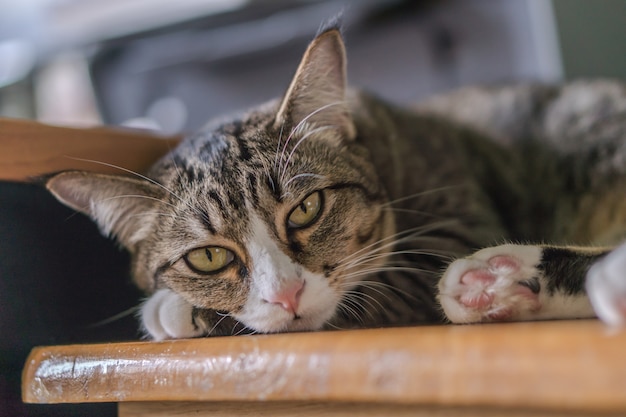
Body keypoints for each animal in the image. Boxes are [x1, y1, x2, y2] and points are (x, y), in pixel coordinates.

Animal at [45, 25, 624, 338]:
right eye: (208, 257)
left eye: (307, 208)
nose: (287, 296)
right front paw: (176, 304)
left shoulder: (452, 220)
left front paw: (176, 310)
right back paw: (502, 285)